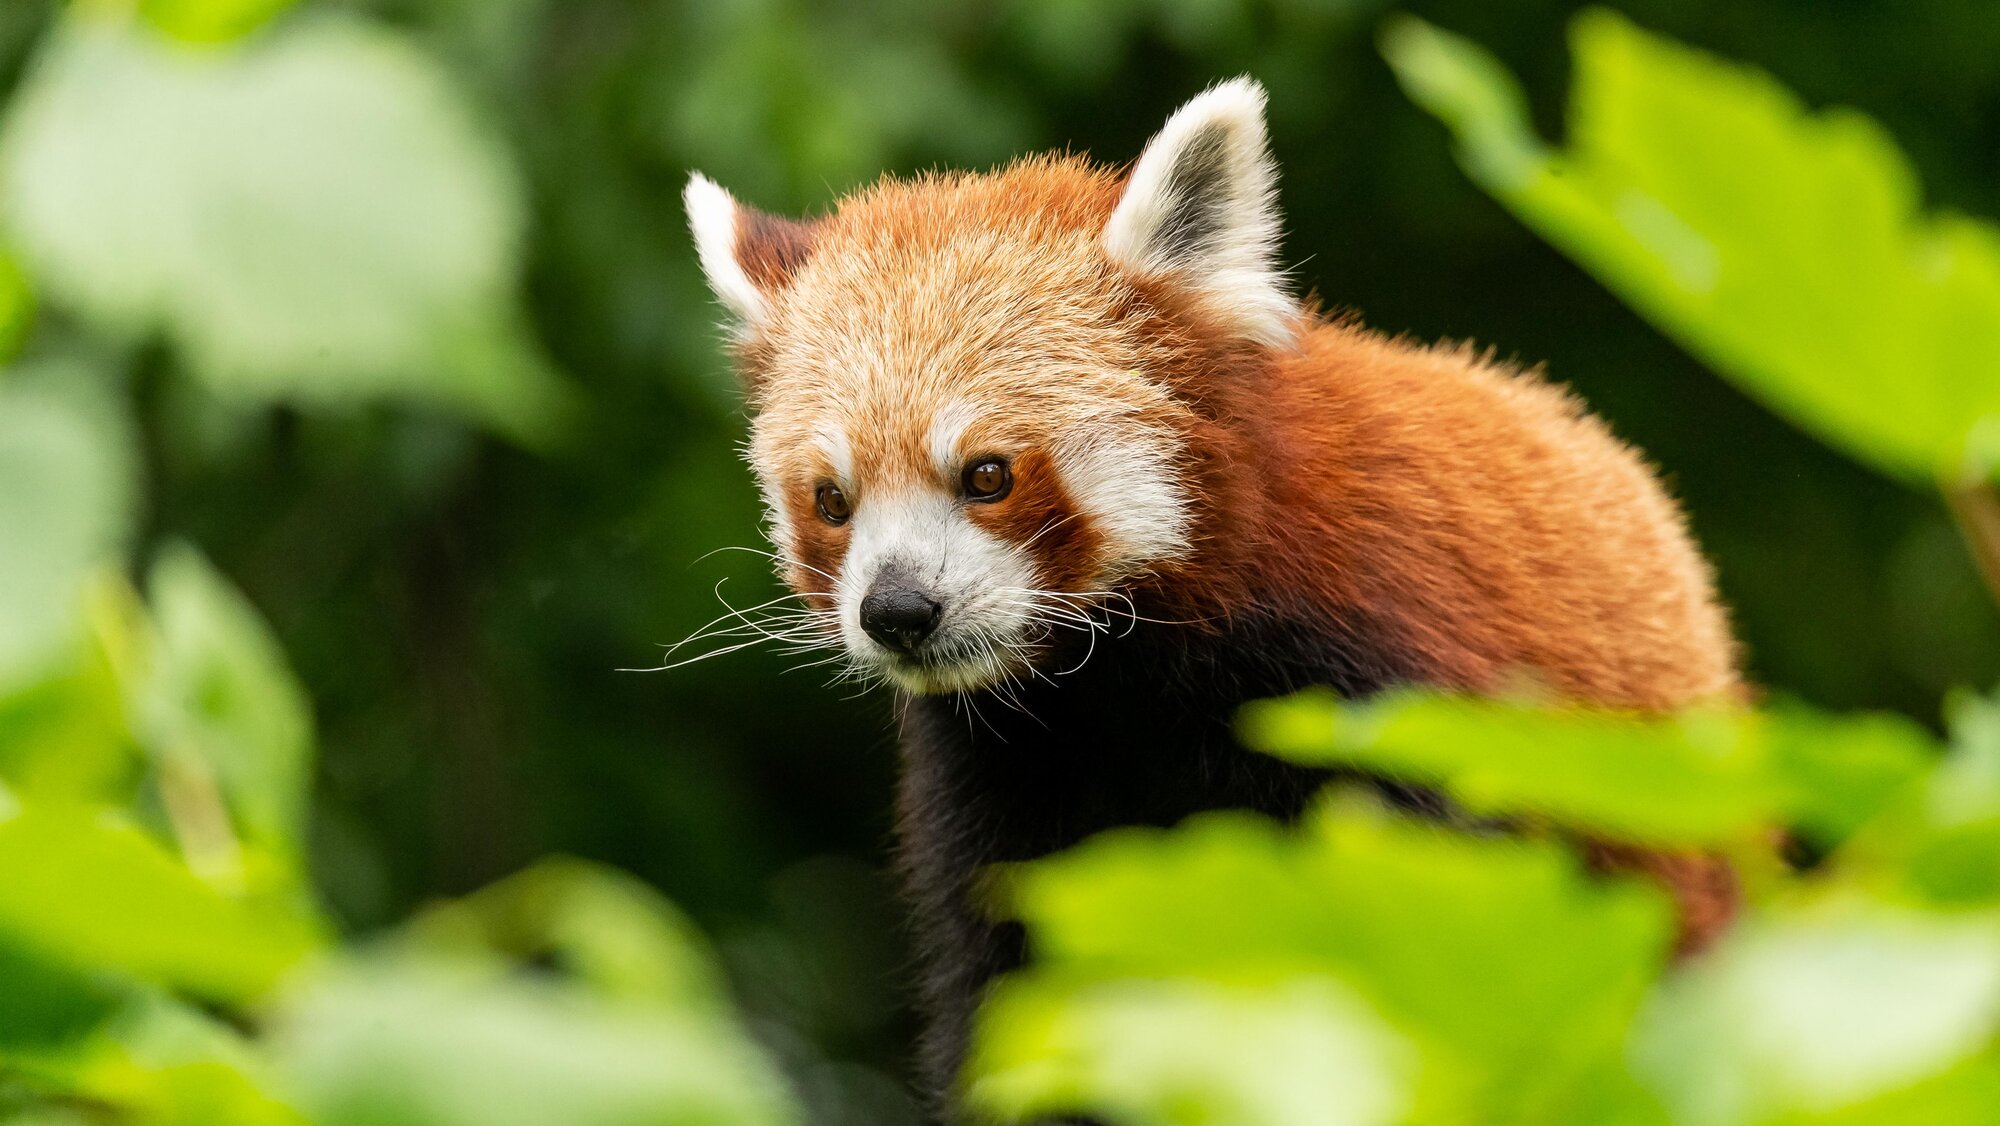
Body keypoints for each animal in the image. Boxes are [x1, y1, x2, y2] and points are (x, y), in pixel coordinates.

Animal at [684, 77, 1736, 1112]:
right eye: (831, 500)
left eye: (987, 475)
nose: (897, 611)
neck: (1123, 684)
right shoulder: (999, 784)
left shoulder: (1389, 688)